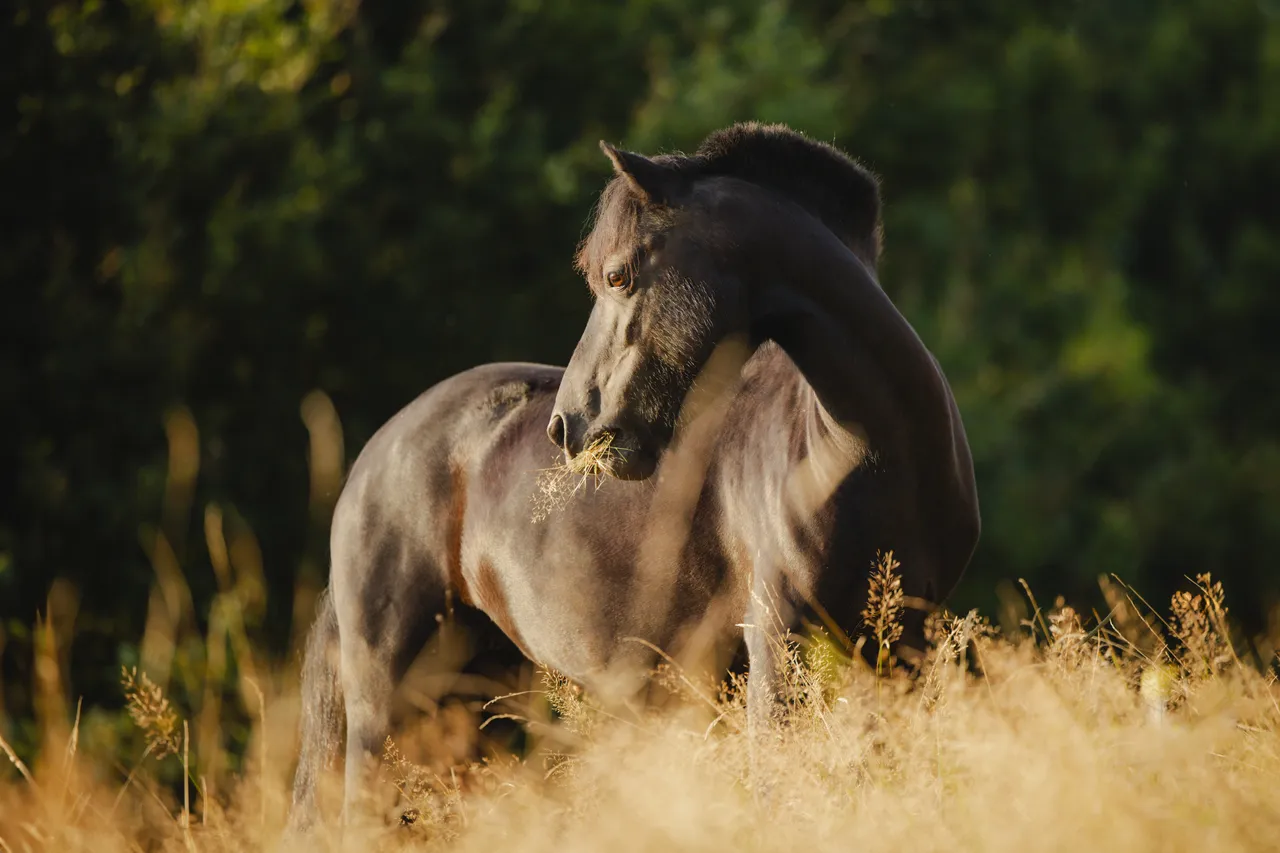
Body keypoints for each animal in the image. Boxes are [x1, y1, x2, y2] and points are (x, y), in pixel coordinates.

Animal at [286, 121, 981, 831]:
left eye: (618, 275)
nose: (567, 426)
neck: (860, 450)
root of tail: (372, 460)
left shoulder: (902, 653)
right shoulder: (778, 651)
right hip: (386, 707)